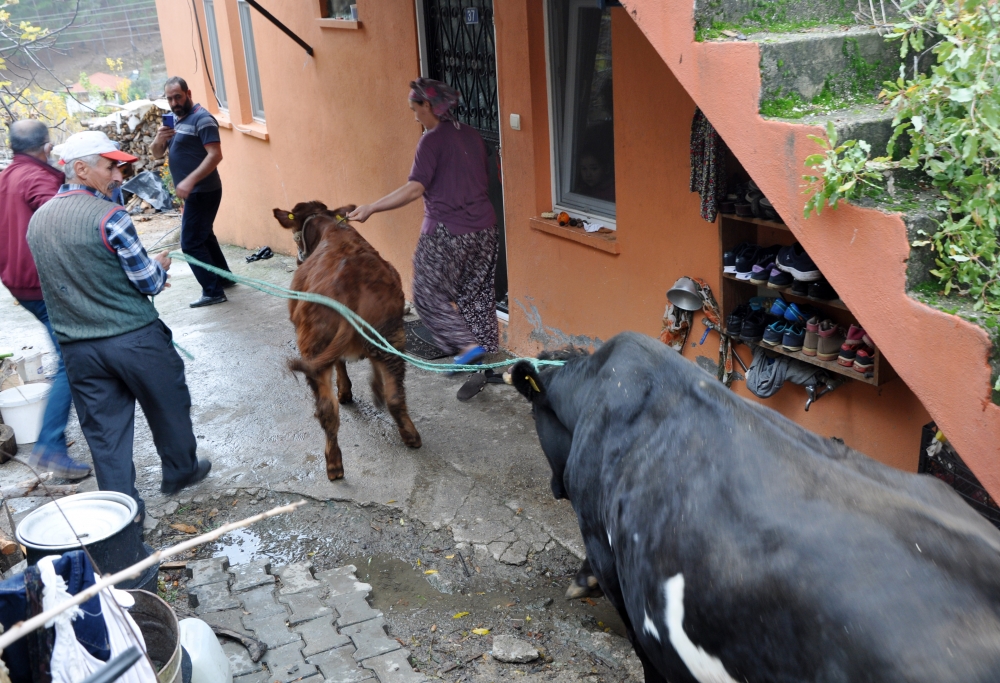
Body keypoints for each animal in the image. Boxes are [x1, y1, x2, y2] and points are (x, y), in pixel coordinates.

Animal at [272, 203, 420, 480]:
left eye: (295, 235)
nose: (299, 258)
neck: (328, 224)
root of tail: (349, 286)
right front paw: (374, 388)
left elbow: (341, 365)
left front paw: (346, 391)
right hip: (392, 334)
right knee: (395, 396)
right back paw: (411, 436)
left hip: (313, 349)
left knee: (327, 411)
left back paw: (333, 465)